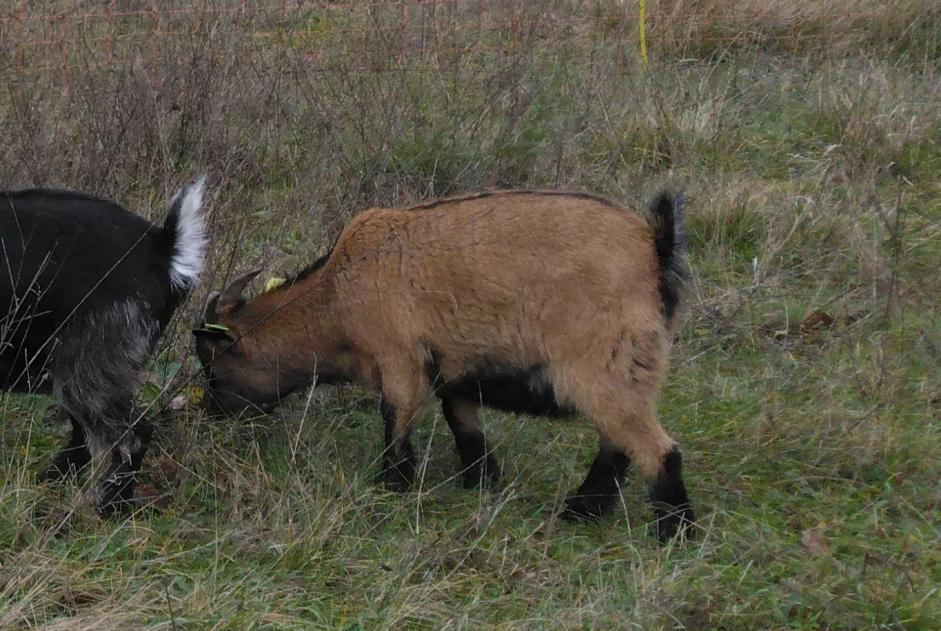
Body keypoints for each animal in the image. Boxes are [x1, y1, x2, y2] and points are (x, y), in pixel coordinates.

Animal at [0, 178, 206, 512]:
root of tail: (163, 248)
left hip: (89, 365)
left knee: (132, 435)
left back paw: (112, 505)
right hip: (73, 370)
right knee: (84, 436)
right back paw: (49, 483)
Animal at [195, 191, 692, 544]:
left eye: (214, 365)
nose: (212, 412)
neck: (336, 291)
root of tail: (656, 247)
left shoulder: (398, 357)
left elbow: (394, 420)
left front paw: (393, 483)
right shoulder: (452, 371)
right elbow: (465, 428)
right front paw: (481, 483)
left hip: (604, 371)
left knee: (659, 451)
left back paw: (674, 533)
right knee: (617, 446)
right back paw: (581, 512)